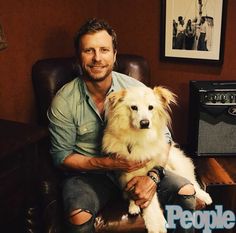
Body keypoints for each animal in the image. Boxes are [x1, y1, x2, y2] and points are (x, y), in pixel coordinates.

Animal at [102, 86, 213, 233]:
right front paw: (133, 205)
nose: (145, 123)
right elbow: (130, 191)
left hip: (178, 166)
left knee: (193, 182)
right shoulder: (126, 172)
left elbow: (150, 202)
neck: (138, 137)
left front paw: (156, 224)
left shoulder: (147, 178)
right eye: (134, 107)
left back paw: (205, 196)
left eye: (151, 107)